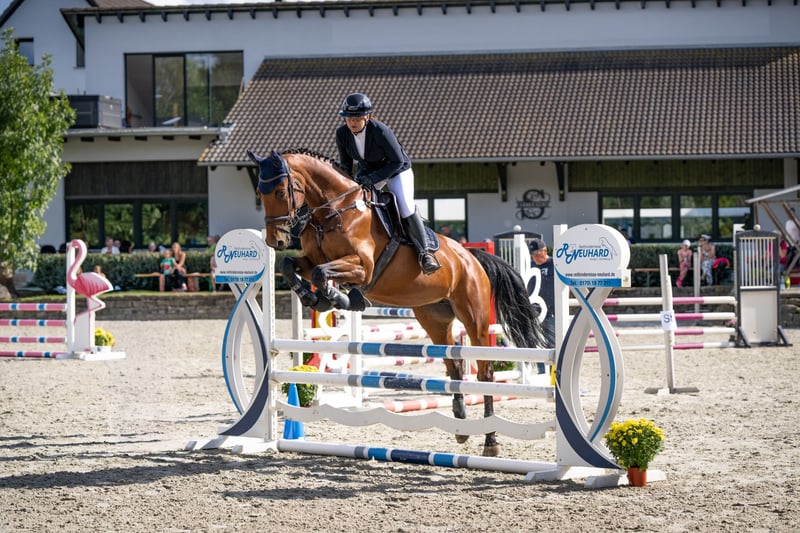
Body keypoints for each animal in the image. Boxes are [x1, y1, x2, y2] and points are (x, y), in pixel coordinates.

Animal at [246, 148, 545, 457]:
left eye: (281, 192)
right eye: (259, 192)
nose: (276, 241)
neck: (332, 212)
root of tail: (472, 257)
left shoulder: (362, 267)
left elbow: (322, 272)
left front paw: (336, 297)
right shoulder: (311, 259)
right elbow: (289, 265)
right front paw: (313, 296)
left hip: (474, 318)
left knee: (485, 371)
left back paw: (490, 440)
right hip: (434, 318)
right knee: (455, 365)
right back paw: (461, 426)